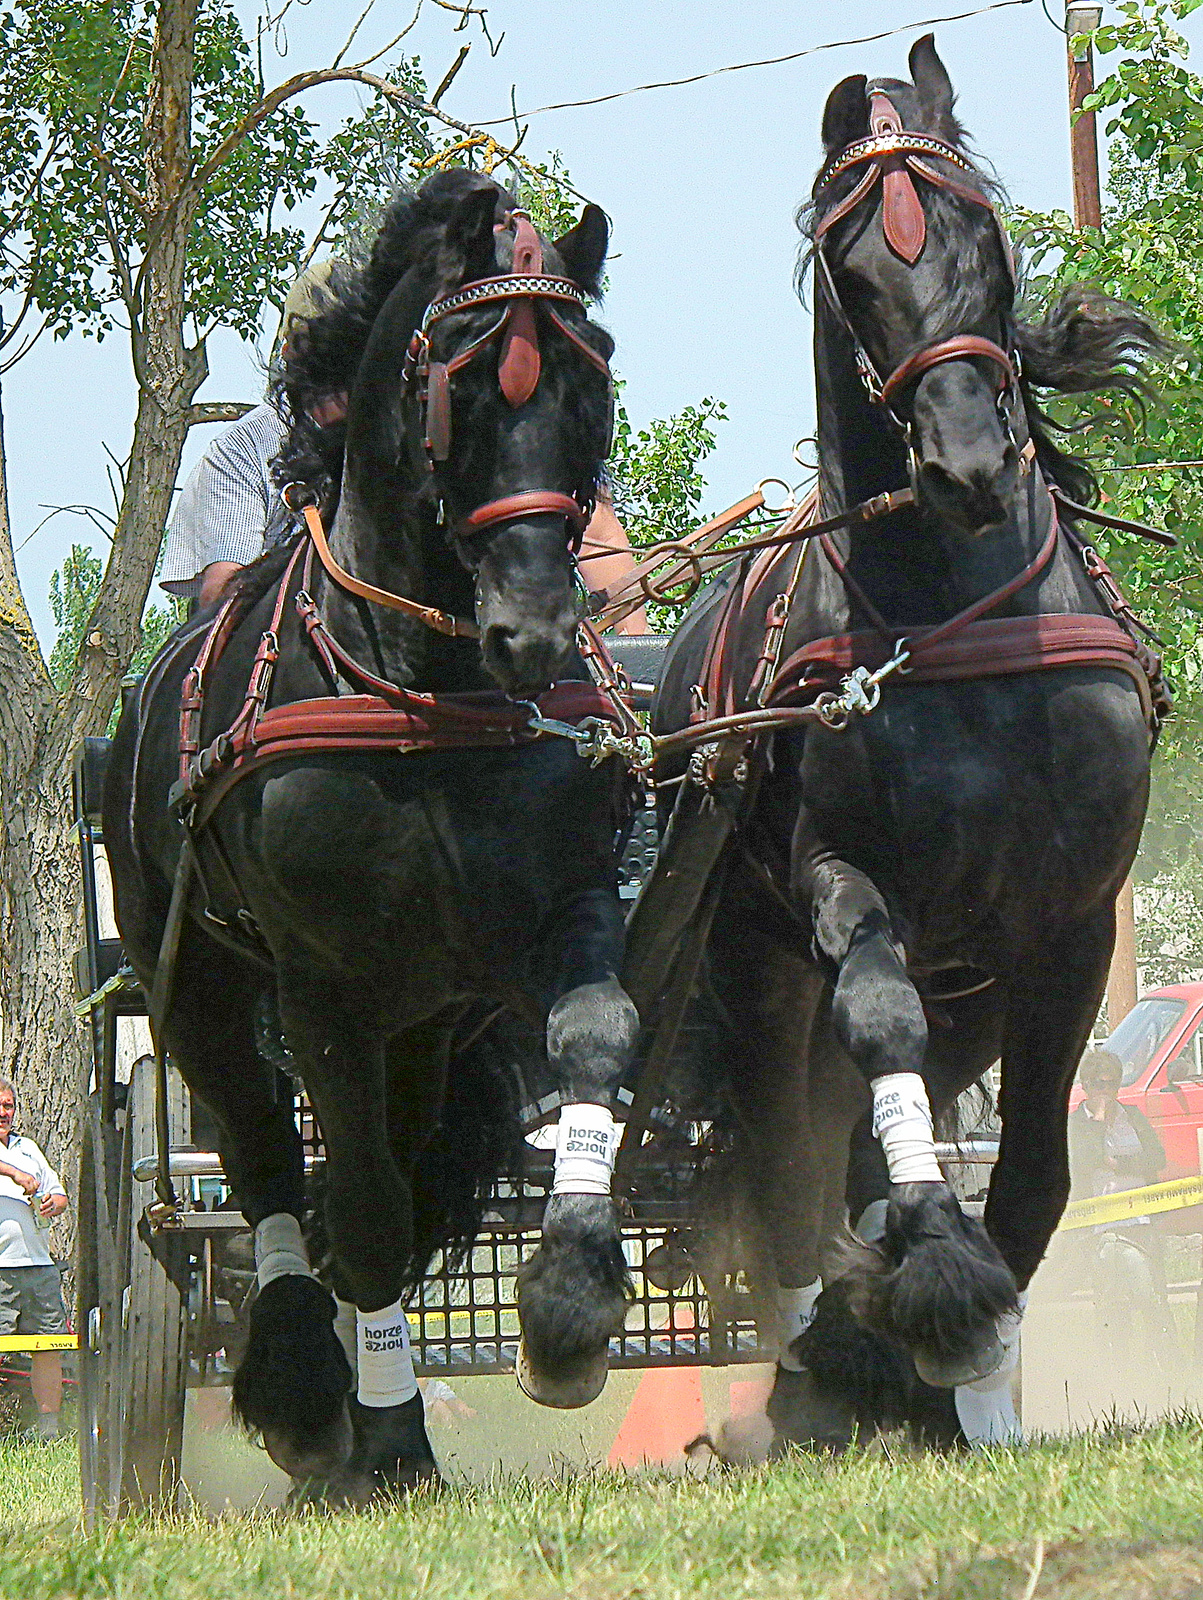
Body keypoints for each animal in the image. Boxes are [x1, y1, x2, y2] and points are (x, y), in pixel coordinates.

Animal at [107, 175, 643, 1497]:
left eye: (591, 379)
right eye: (462, 382)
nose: (534, 629)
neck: (420, 688)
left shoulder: (552, 920)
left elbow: (594, 1037)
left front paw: (566, 1310)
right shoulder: (322, 984)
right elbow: (355, 1209)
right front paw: (369, 1432)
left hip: (424, 1015)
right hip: (200, 986)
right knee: (269, 1165)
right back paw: (310, 1397)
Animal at [649, 37, 1164, 1446]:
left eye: (984, 236)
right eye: (856, 266)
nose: (972, 463)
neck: (962, 618)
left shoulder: (1070, 927)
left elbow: (1036, 1167)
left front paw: (964, 1342)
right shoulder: (844, 889)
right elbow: (876, 1033)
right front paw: (922, 1275)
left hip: (973, 990)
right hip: (758, 973)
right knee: (791, 1159)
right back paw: (805, 1366)